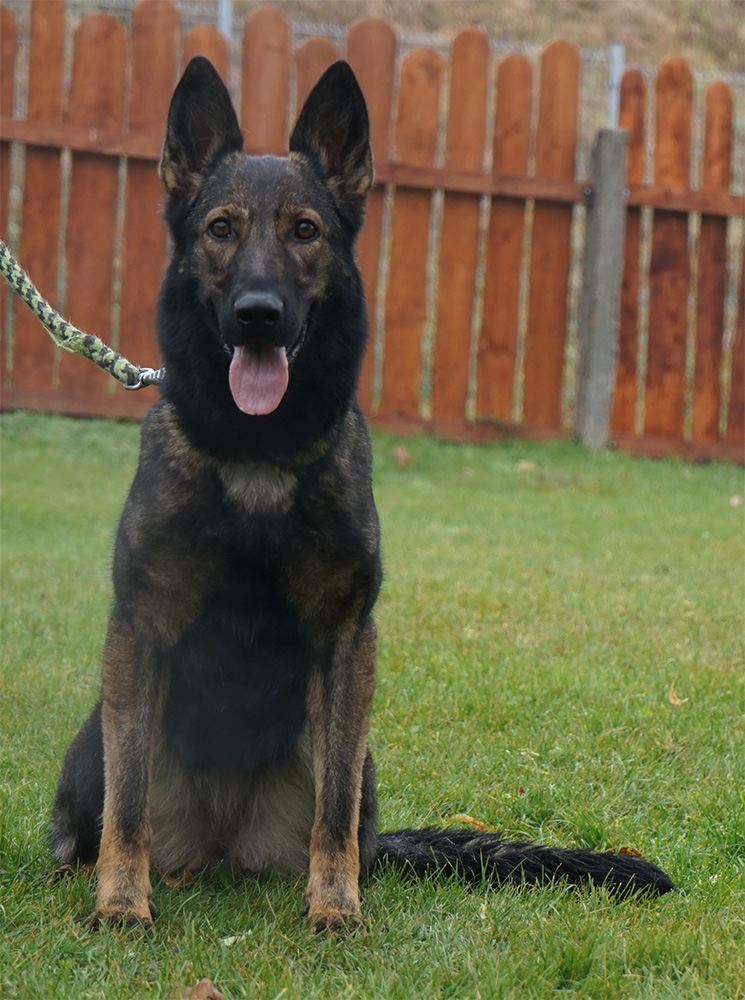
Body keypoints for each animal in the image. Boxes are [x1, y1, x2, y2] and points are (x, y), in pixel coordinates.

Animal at [49, 56, 672, 928]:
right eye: (222, 229)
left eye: (305, 231)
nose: (258, 315)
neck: (258, 453)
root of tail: (217, 848)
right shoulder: (140, 631)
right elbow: (130, 796)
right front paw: (120, 904)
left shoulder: (347, 645)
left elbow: (333, 804)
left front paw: (335, 908)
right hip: (88, 746)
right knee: (96, 810)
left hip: (362, 758)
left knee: (345, 813)